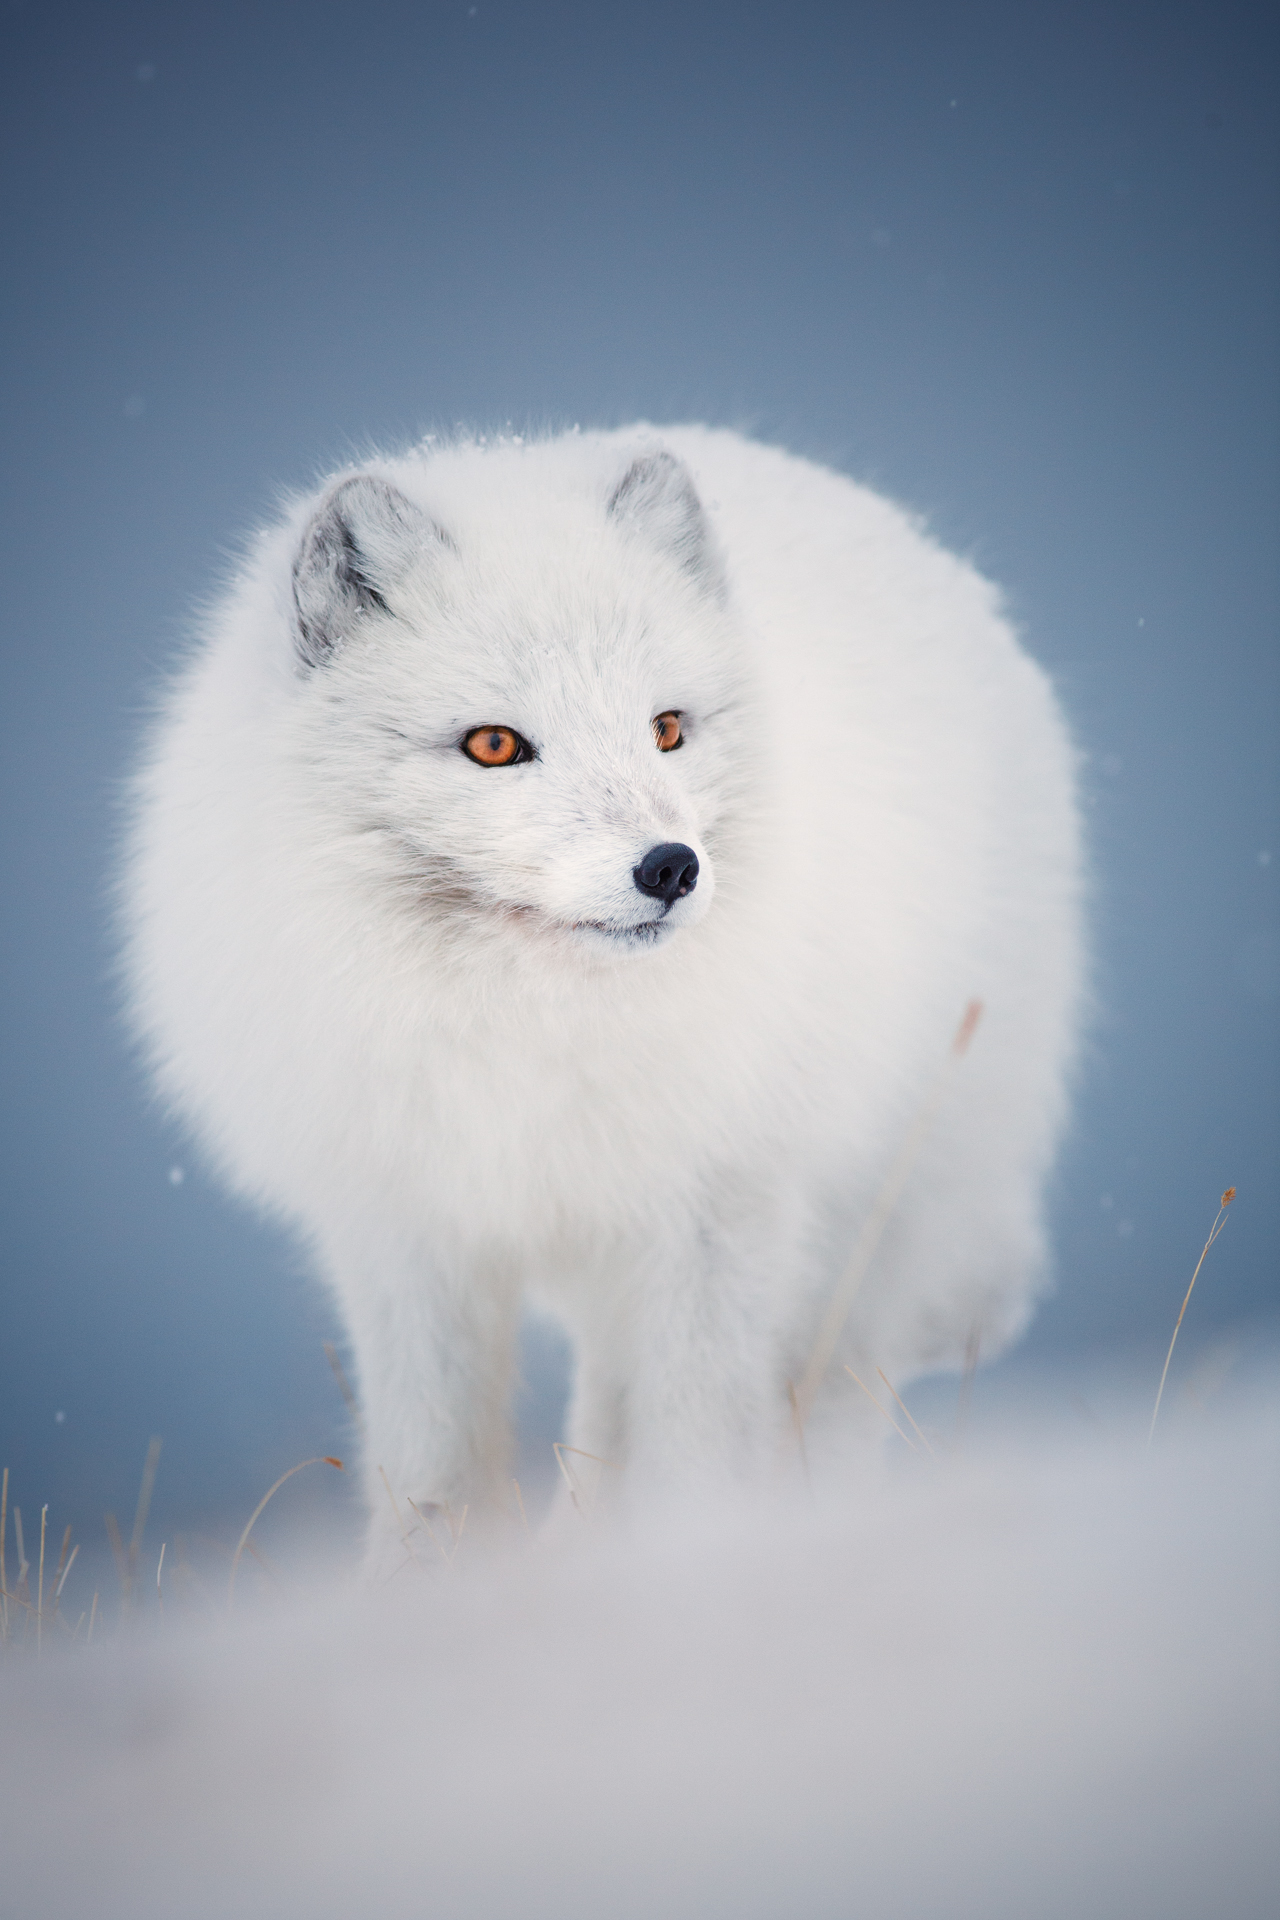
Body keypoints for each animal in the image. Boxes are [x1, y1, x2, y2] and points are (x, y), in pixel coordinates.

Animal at [122, 424, 1084, 1574]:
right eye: (495, 745)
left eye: (665, 728)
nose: (671, 867)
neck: (532, 1029)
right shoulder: (408, 1228)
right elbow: (431, 1463)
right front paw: (421, 1591)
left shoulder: (717, 1210)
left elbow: (694, 1444)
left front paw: (689, 1561)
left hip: (878, 1214)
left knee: (830, 1400)